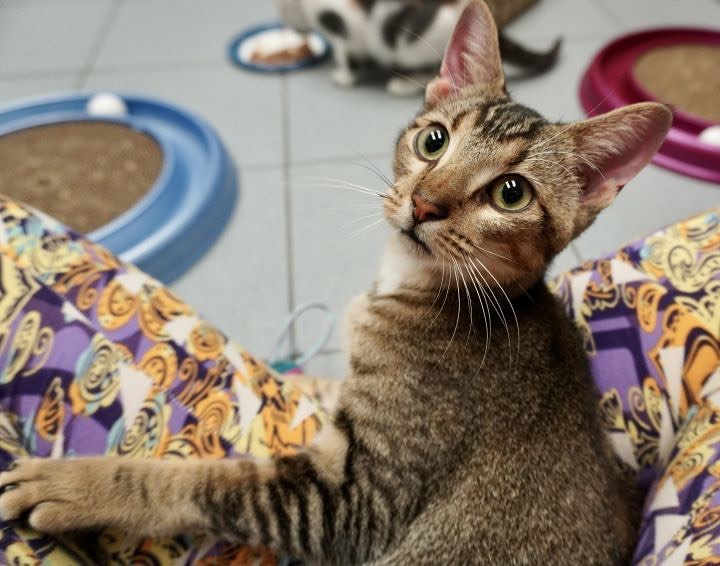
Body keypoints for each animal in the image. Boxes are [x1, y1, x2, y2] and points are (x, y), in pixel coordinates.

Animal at [278, 0, 560, 95]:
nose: (293, 29)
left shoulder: (342, 25)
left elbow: (343, 53)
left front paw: (344, 76)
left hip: (412, 46)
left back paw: (400, 84)